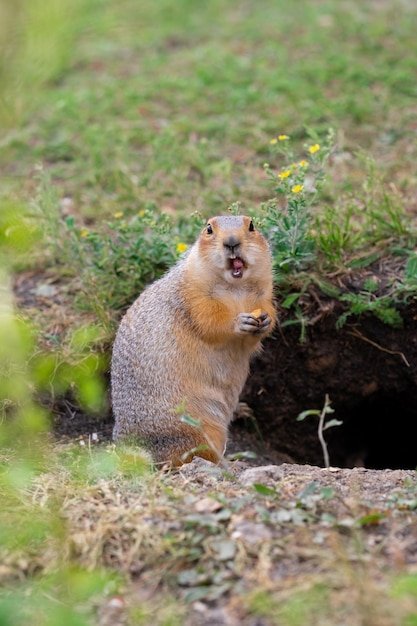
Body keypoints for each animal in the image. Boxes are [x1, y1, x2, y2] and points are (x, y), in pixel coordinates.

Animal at [112, 214, 276, 464]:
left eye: (251, 225)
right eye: (209, 228)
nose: (231, 241)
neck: (236, 288)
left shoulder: (264, 294)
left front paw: (264, 321)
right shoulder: (193, 296)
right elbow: (210, 321)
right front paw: (239, 322)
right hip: (192, 430)